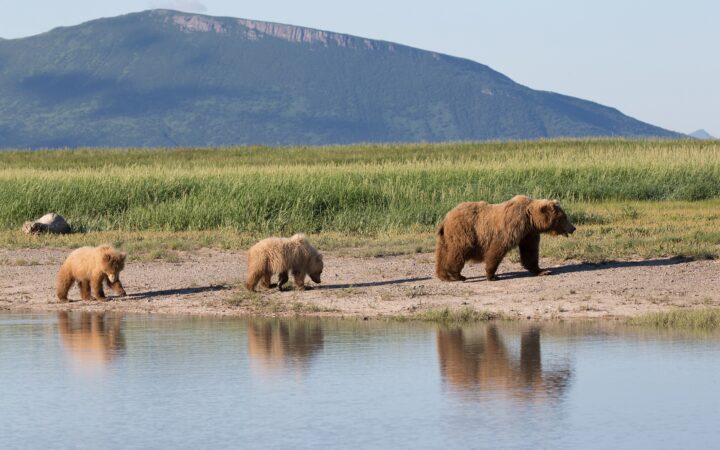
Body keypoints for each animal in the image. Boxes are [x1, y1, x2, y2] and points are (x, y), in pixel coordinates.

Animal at [435, 195, 576, 282]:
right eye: (564, 217)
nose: (573, 228)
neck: (530, 219)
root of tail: (446, 218)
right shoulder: (512, 225)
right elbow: (498, 248)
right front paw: (491, 275)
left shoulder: (528, 233)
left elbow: (530, 252)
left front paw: (542, 271)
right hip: (463, 232)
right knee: (458, 251)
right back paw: (457, 275)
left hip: (446, 237)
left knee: (442, 254)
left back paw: (443, 276)